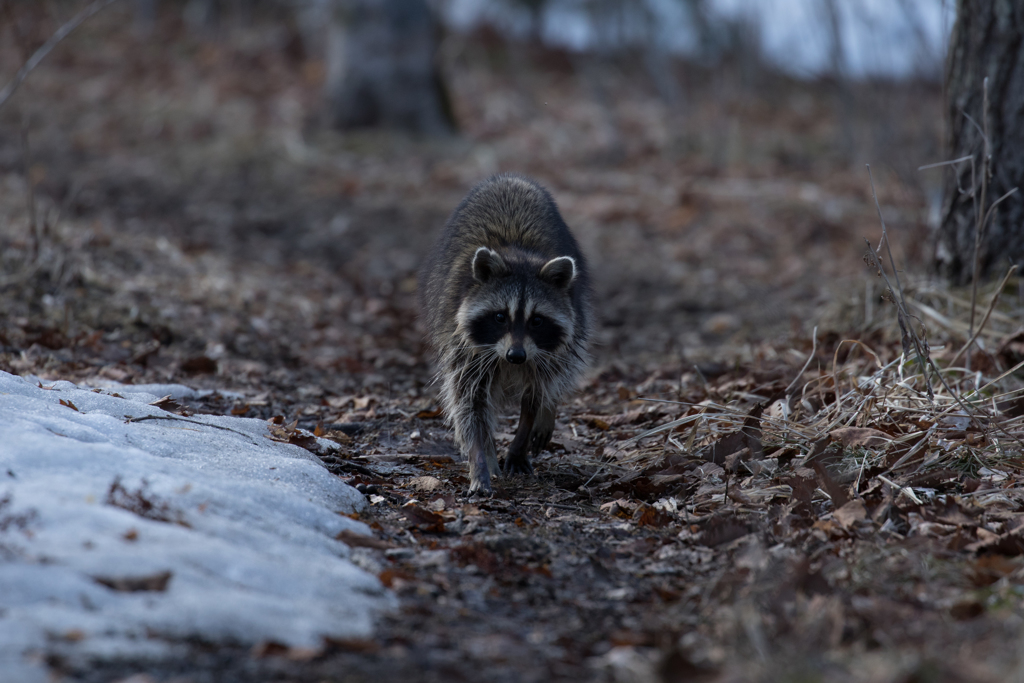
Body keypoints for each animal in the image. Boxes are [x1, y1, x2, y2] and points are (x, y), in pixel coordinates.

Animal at [417, 174, 593, 493]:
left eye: (536, 321)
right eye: (500, 317)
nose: (516, 356)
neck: (518, 255)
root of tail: (510, 178)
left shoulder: (545, 348)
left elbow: (535, 395)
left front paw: (521, 439)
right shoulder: (463, 346)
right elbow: (469, 403)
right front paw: (480, 460)